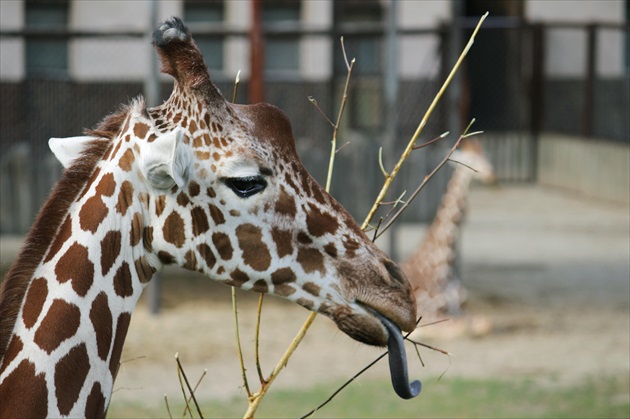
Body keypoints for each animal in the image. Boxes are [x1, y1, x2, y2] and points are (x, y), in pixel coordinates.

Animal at [402, 139, 496, 326]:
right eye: (470, 161)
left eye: (487, 156)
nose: (491, 176)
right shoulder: (429, 312)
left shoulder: (461, 308)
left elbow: (484, 322)